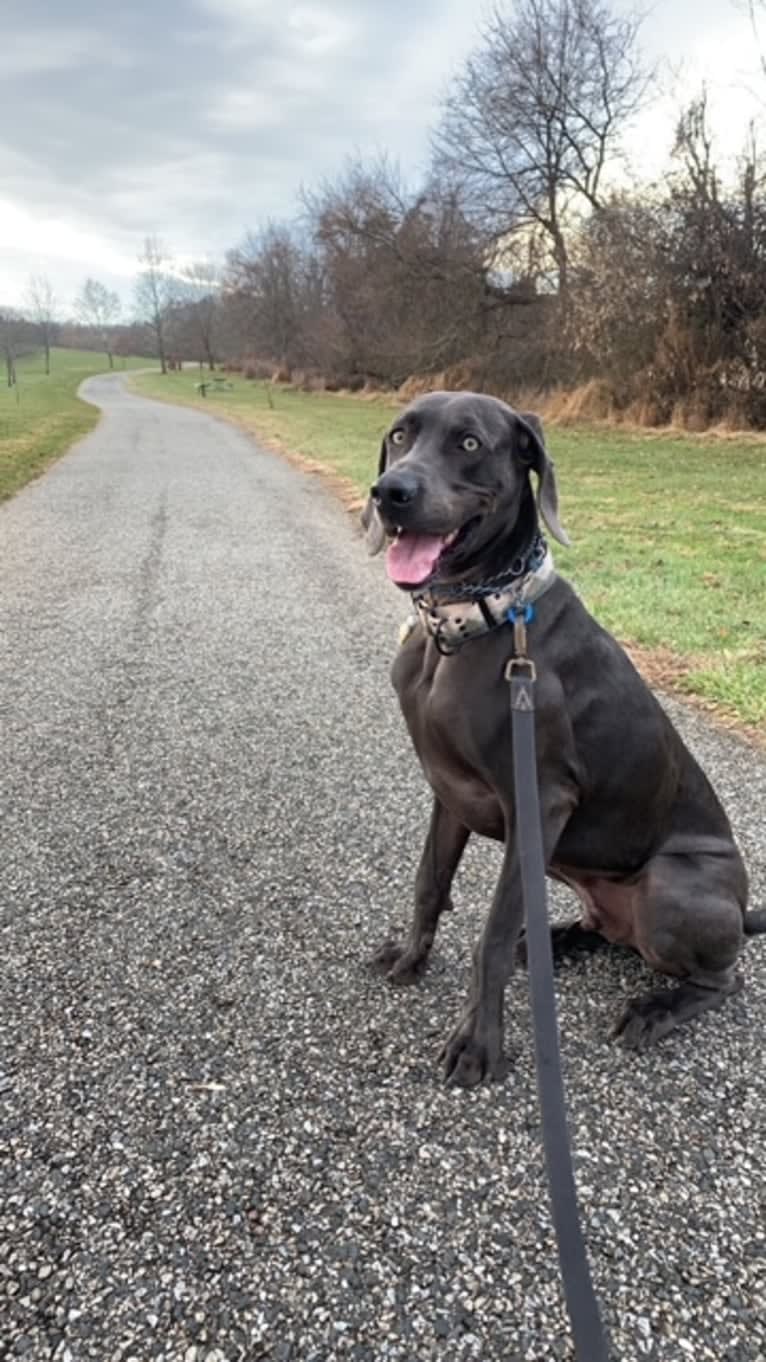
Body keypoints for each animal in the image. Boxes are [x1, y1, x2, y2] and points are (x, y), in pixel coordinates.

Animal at [359, 392, 757, 1084]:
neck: (472, 621)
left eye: (469, 443)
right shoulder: (449, 792)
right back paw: (560, 939)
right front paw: (410, 958)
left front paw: (478, 1044)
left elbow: (491, 935)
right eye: (400, 435)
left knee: (722, 979)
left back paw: (653, 1009)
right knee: (608, 931)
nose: (390, 493)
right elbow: (429, 883)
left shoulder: (540, 802)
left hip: (671, 887)